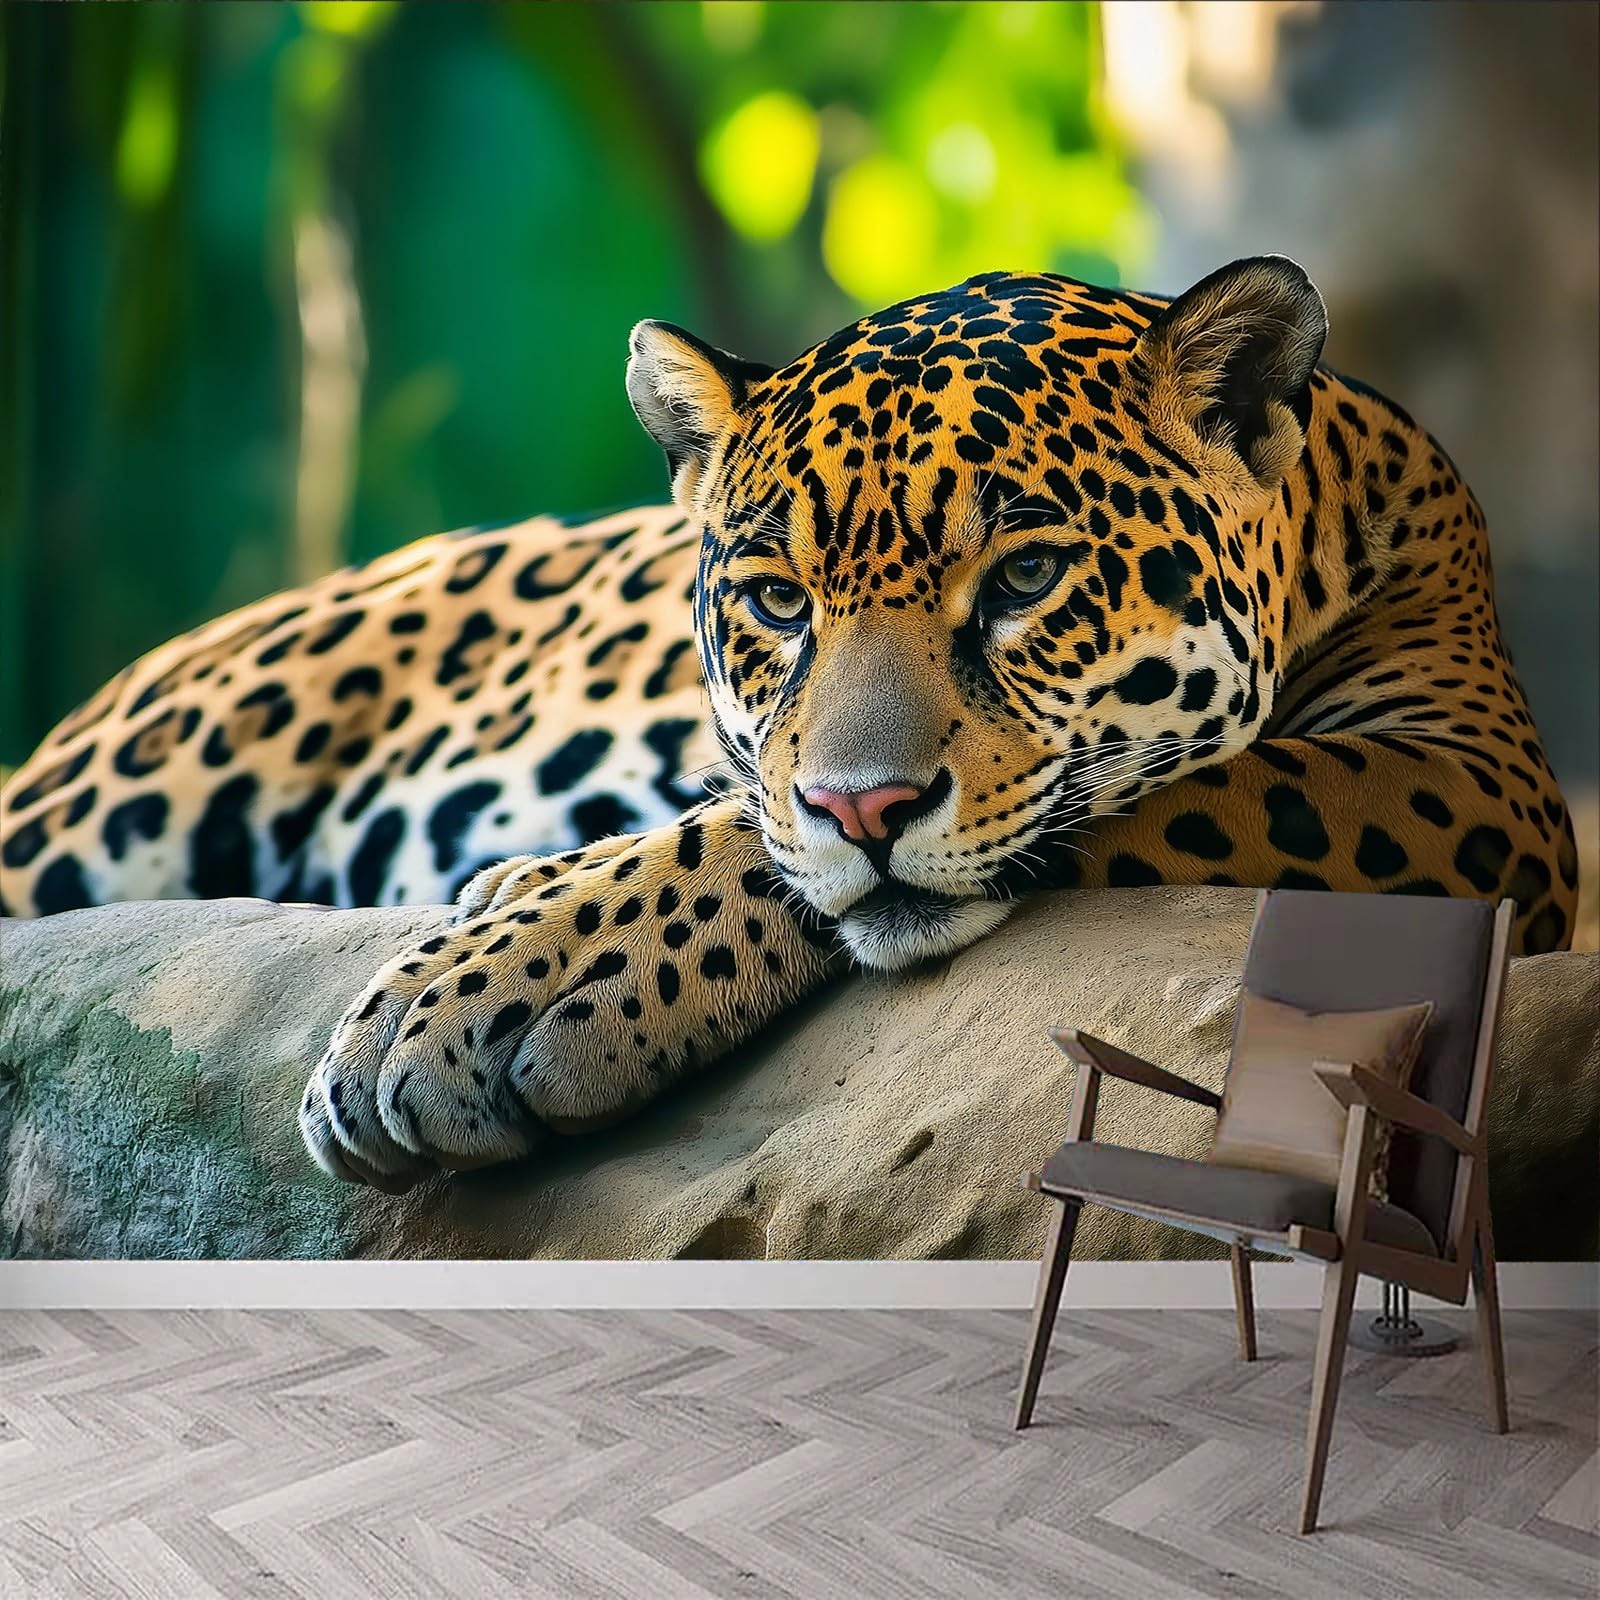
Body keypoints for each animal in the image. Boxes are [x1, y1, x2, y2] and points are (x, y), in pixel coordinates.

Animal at [0, 256, 1578, 1192]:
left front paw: (489, 975)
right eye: (774, 599)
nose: (867, 807)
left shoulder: (1477, 793)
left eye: (1025, 579)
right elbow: (763, 812)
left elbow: (1158, 784)